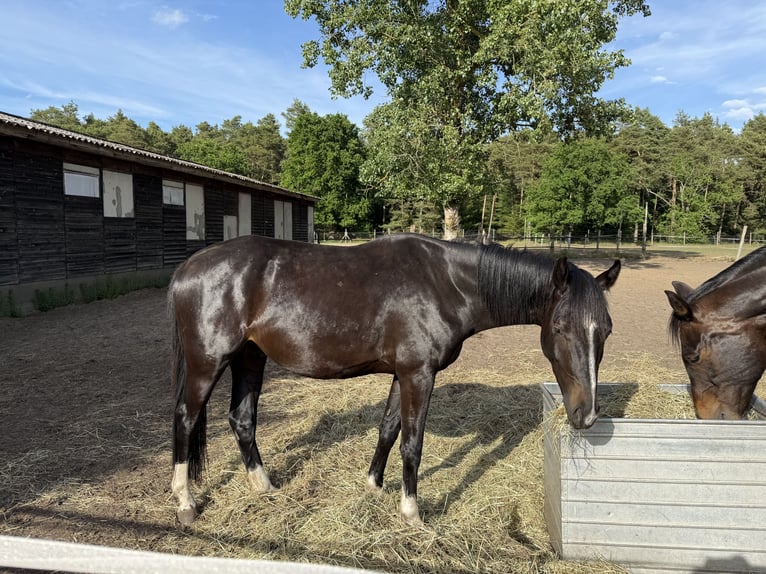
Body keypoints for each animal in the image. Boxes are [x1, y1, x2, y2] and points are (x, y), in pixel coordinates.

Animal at [168, 234, 620, 526]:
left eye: (607, 330)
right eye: (559, 328)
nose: (586, 415)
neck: (446, 282)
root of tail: (188, 267)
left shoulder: (401, 375)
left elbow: (387, 430)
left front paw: (373, 487)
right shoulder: (418, 375)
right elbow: (412, 444)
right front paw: (412, 513)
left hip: (249, 358)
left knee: (242, 419)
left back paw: (264, 487)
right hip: (209, 362)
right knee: (186, 419)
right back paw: (186, 504)